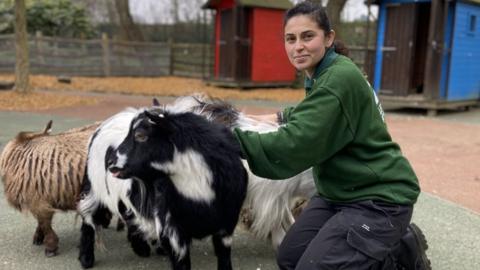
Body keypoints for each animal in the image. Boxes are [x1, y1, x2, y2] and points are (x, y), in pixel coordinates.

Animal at [0, 121, 99, 258]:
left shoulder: (38, 201)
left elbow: (45, 223)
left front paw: (50, 247)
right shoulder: (41, 201)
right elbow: (41, 222)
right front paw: (39, 237)